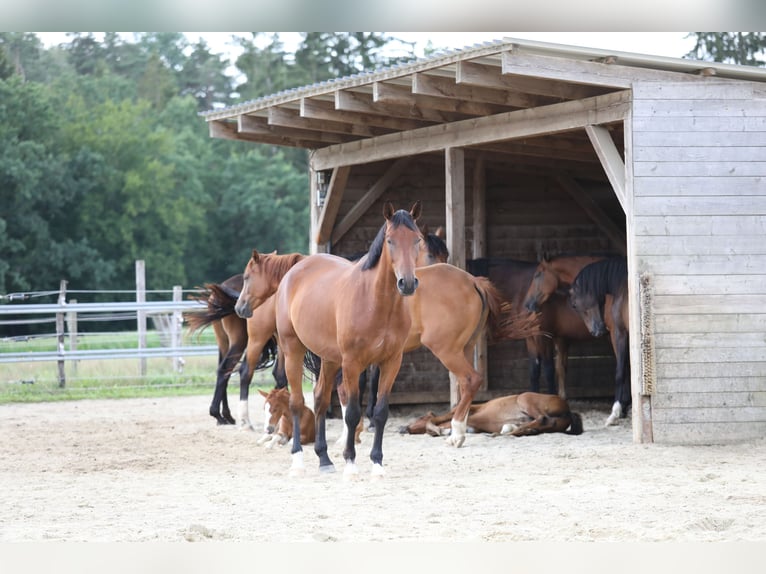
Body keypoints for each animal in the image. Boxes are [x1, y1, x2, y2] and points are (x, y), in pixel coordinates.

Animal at [185, 275, 286, 427]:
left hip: (224, 342)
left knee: (223, 370)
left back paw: (224, 415)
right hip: (239, 341)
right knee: (225, 369)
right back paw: (219, 414)